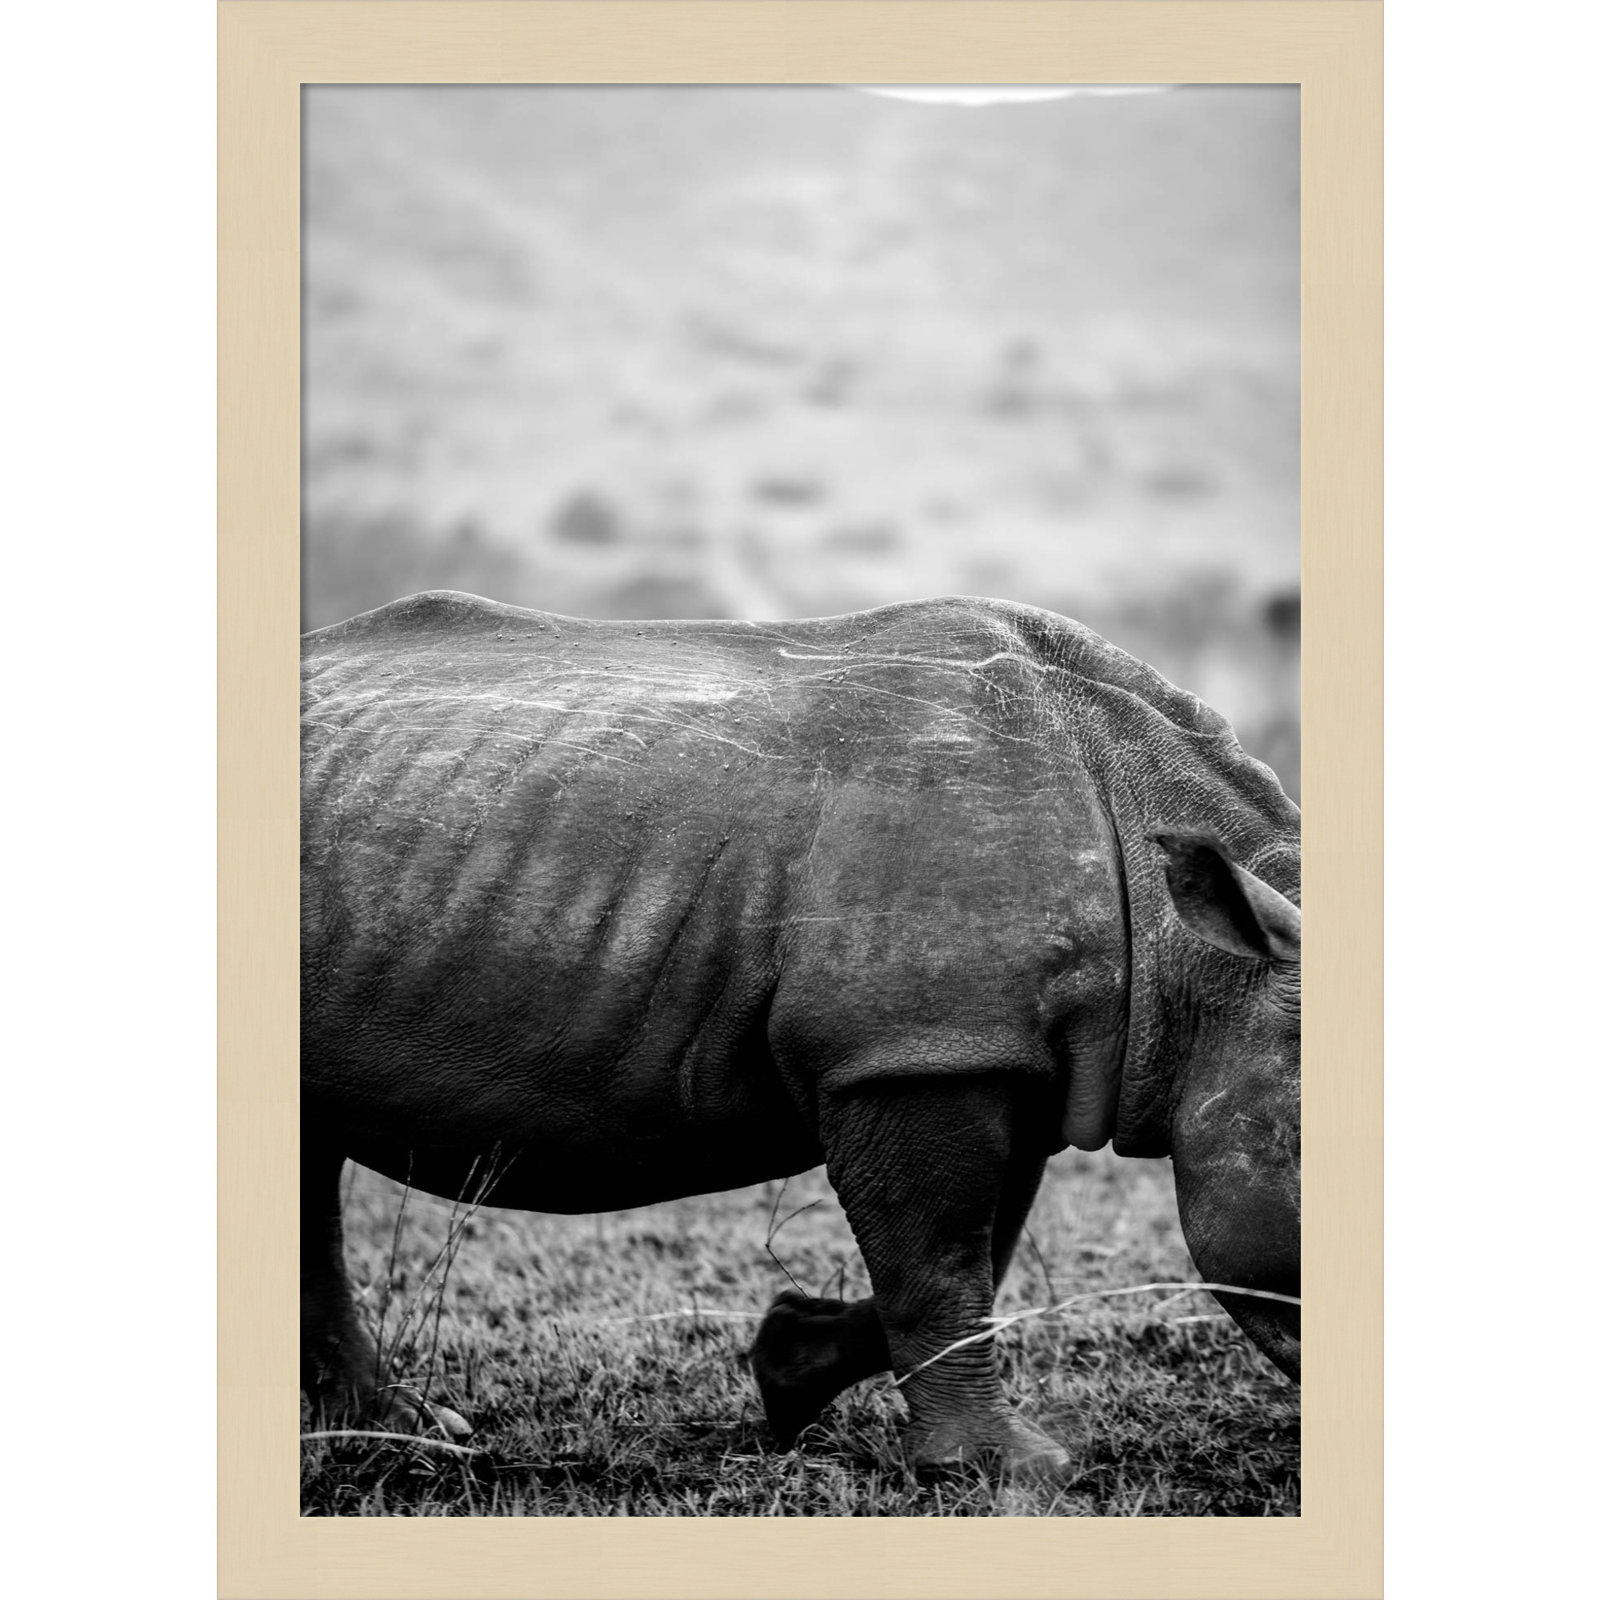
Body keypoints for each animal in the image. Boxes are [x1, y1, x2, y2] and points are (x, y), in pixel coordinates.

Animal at [301, 591, 1300, 1474]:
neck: (1197, 962)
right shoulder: (911, 1051)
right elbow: (942, 1259)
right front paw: (1002, 1468)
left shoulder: (990, 1051)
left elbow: (981, 1248)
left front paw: (790, 1371)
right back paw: (404, 1431)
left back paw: (393, 1425)